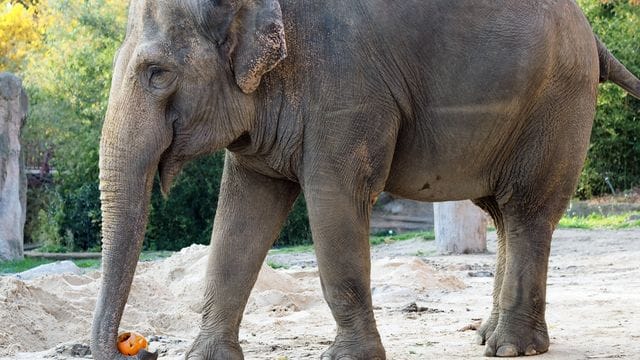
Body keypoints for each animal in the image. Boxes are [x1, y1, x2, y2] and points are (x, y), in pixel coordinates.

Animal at [90, 0, 640, 358]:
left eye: (157, 73)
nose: (135, 347)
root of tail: (593, 34)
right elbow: (242, 212)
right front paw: (207, 359)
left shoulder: (345, 86)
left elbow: (334, 200)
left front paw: (349, 359)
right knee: (502, 214)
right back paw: (488, 336)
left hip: (556, 101)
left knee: (525, 210)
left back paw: (511, 348)